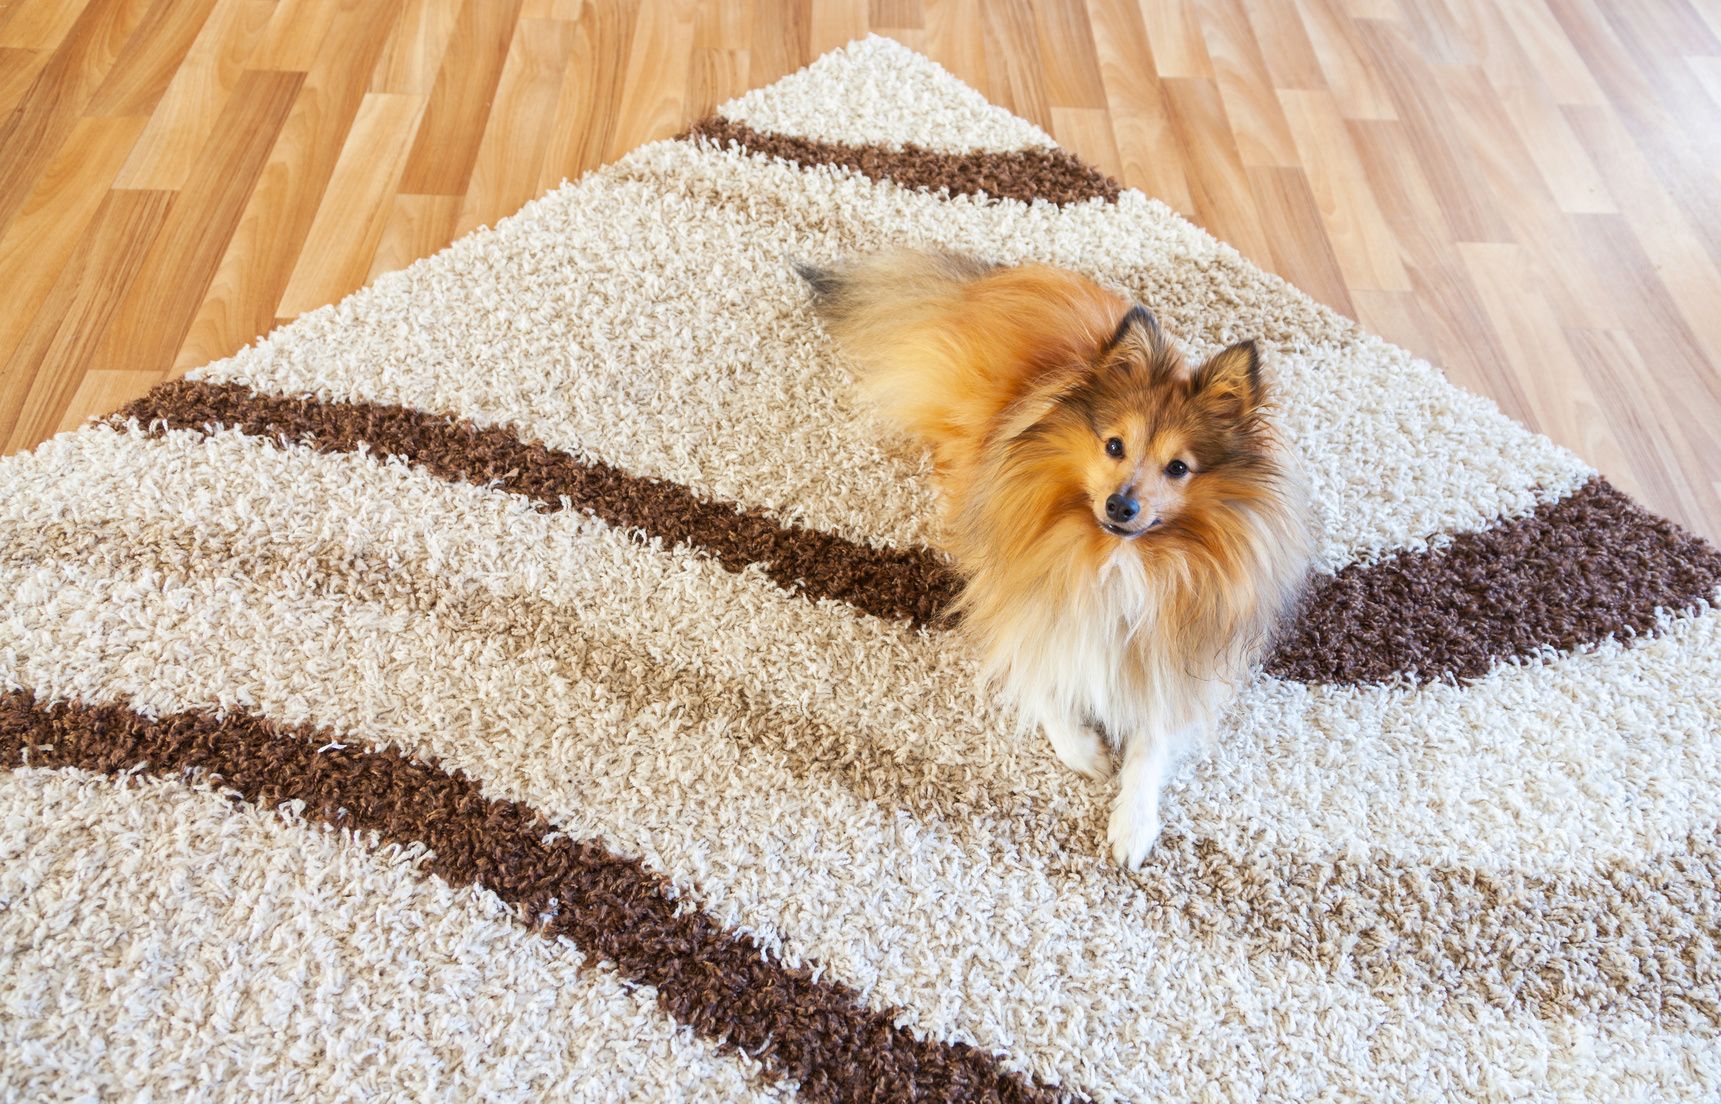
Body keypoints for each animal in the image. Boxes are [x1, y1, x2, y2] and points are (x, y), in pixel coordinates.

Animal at [798, 249, 1307, 868]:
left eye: (1178, 467)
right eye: (1113, 446)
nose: (1120, 505)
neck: (1117, 558)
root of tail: (995, 281)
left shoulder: (1172, 652)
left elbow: (1152, 740)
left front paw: (1133, 825)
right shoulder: (1014, 599)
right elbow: (1038, 673)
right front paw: (1085, 751)